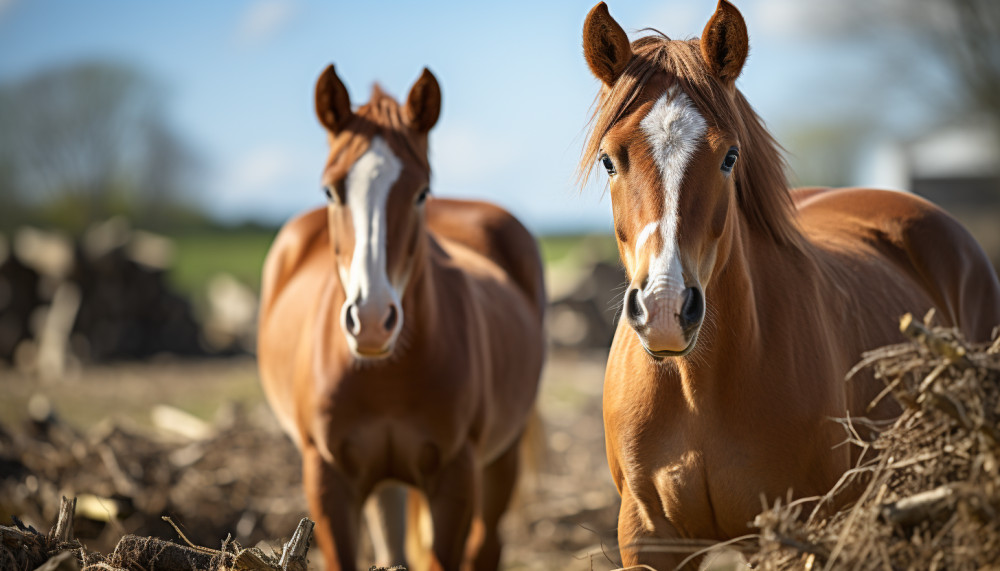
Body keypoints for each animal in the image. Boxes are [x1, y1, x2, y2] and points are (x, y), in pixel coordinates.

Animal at [257, 65, 546, 571]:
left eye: (421, 192)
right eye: (331, 189)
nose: (372, 320)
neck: (387, 377)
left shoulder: (455, 479)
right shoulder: (327, 479)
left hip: (501, 459)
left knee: (487, 545)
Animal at [579, 2, 1000, 568]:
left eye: (730, 156)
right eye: (609, 159)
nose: (665, 309)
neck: (697, 388)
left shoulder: (792, 531)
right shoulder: (649, 537)